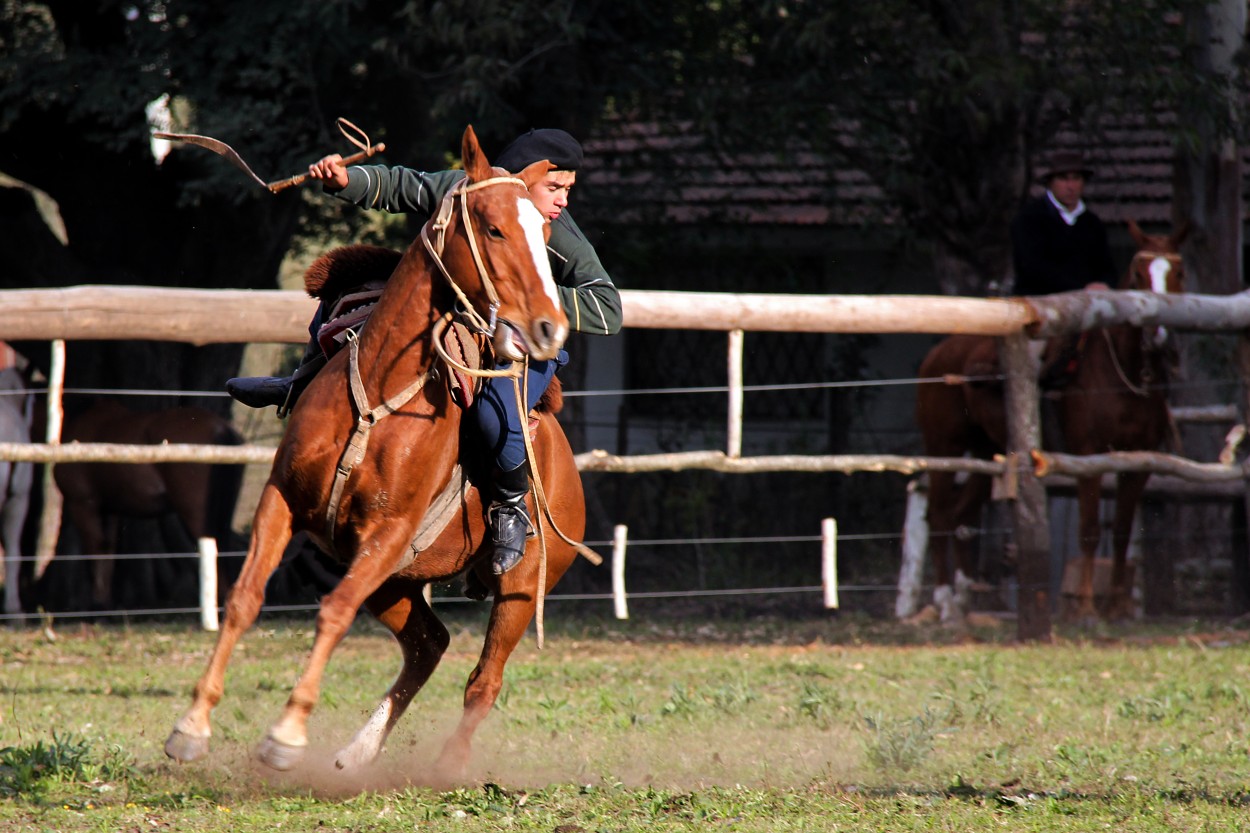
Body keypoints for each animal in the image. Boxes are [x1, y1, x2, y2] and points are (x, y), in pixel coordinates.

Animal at [163, 126, 582, 775]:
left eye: (545, 233)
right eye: (494, 229)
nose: (548, 327)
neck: (383, 396)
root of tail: (570, 477)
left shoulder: (385, 536)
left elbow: (334, 611)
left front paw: (286, 735)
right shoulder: (284, 503)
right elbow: (243, 598)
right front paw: (192, 725)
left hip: (517, 588)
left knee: (483, 680)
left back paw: (445, 767)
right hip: (395, 579)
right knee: (429, 643)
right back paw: (359, 751)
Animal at [915, 220, 1185, 622]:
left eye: (1178, 272)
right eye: (1138, 274)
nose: (1158, 333)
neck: (1125, 375)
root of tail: (938, 353)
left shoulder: (1140, 459)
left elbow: (1121, 529)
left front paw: (1118, 605)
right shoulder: (1088, 455)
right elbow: (1090, 528)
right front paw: (1086, 607)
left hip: (987, 451)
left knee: (962, 513)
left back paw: (963, 597)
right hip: (944, 446)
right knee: (938, 515)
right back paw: (945, 600)